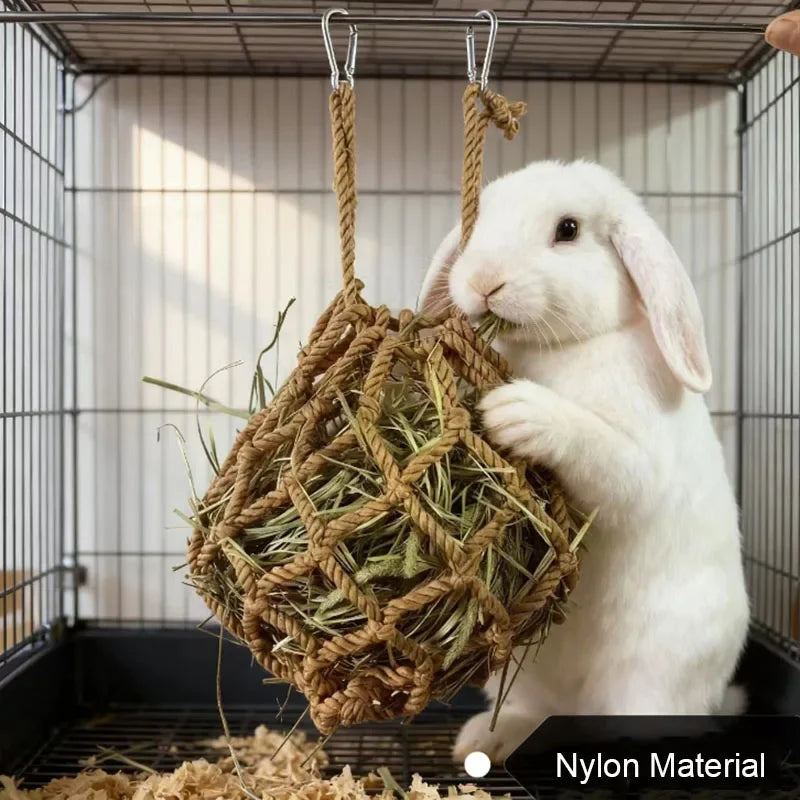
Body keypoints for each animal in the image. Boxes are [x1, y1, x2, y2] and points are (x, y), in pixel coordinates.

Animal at [417, 160, 751, 765]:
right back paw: (483, 740)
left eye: (567, 229)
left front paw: (514, 411)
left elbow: (602, 456)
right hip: (518, 672)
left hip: (654, 676)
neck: (557, 349)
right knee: (533, 712)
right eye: (477, 224)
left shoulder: (638, 461)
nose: (483, 282)